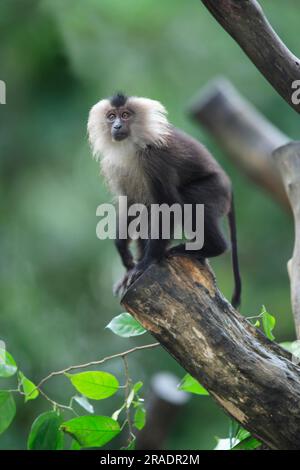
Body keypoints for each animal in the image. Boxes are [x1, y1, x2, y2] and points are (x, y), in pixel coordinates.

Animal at [87, 92, 241, 308]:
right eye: (111, 116)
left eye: (125, 115)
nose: (116, 126)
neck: (133, 147)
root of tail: (228, 184)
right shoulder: (114, 167)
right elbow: (132, 205)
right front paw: (124, 254)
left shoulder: (154, 159)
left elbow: (169, 205)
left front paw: (147, 262)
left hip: (215, 189)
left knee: (189, 200)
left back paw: (212, 248)